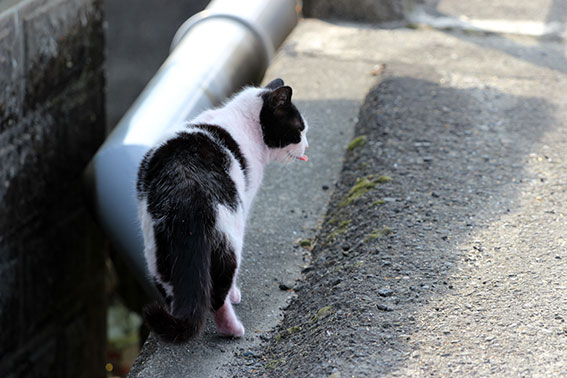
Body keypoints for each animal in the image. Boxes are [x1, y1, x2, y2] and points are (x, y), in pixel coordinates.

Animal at [135, 78, 308, 344]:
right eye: (299, 130)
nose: (306, 147)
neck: (243, 121)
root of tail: (186, 192)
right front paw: (236, 294)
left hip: (157, 250)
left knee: (177, 287)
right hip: (229, 237)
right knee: (218, 292)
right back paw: (232, 329)